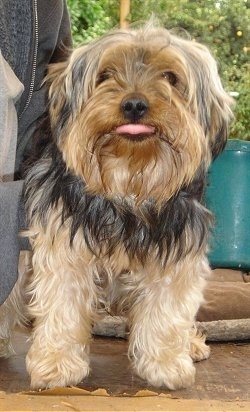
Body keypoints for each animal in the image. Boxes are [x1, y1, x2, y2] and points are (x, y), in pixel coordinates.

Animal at [0, 21, 233, 390]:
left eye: (170, 77)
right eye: (105, 75)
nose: (134, 104)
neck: (129, 181)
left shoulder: (178, 243)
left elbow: (167, 304)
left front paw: (165, 364)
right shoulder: (63, 236)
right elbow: (63, 299)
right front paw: (57, 363)